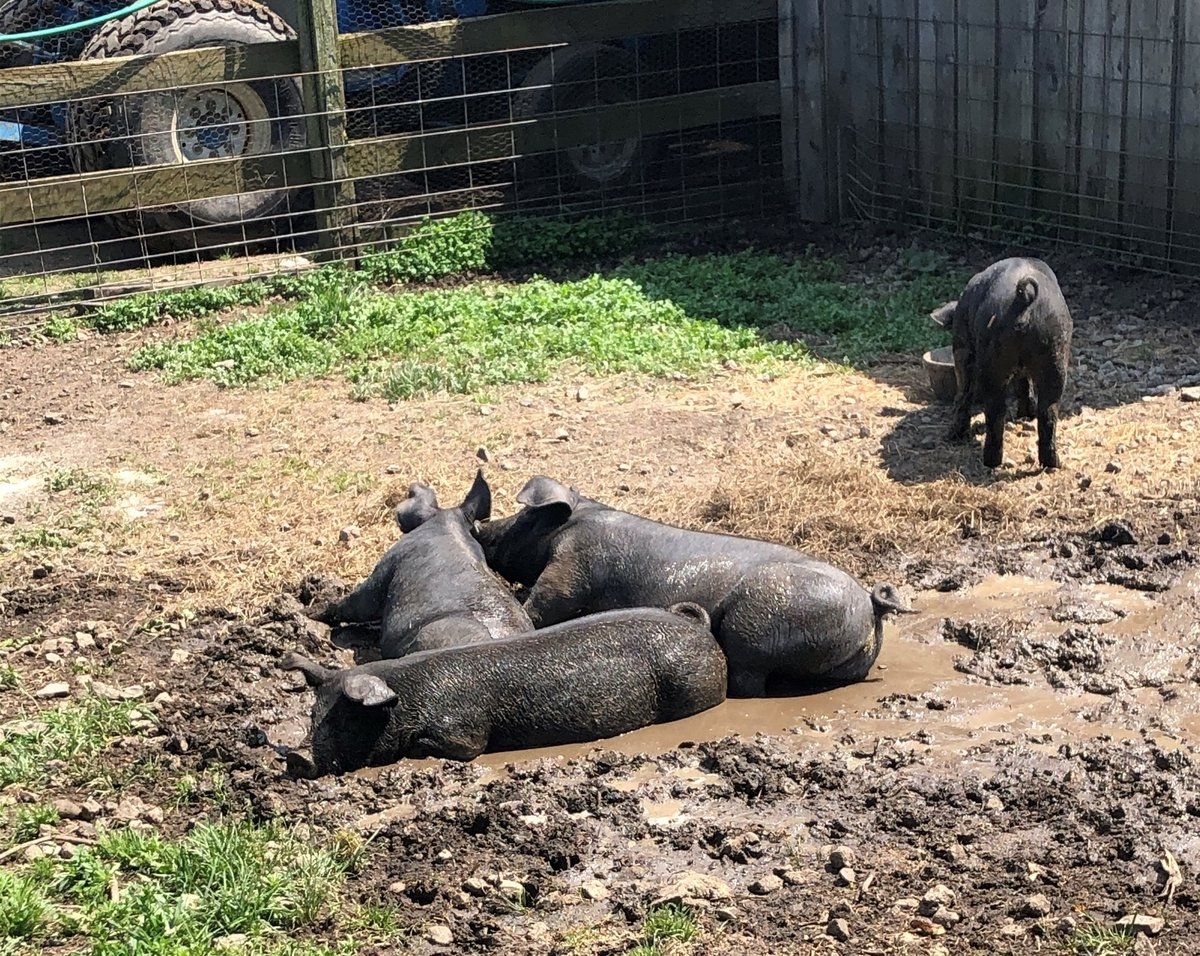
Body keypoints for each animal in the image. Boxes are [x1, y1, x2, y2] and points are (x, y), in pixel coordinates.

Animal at [280, 602, 727, 777]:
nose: (302, 762)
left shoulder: (464, 732)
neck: (408, 694)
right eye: (312, 714)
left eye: (341, 721)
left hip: (693, 687)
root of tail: (697, 626)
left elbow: (457, 746)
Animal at [472, 476, 914, 697]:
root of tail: (869, 604)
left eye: (527, 516)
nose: (480, 527)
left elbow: (544, 604)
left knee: (749, 679)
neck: (579, 518)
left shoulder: (573, 565)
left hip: (756, 627)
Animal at [930, 257, 1073, 470]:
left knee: (993, 409)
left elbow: (964, 390)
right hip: (1055, 353)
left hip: (992, 359)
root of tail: (1024, 298)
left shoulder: (962, 345)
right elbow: (1024, 384)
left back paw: (988, 461)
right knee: (1048, 410)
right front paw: (1025, 415)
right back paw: (1052, 463)